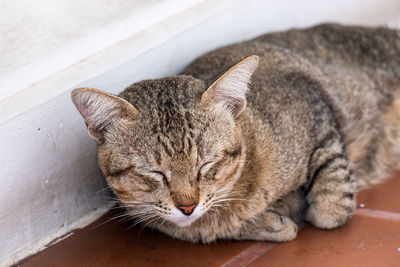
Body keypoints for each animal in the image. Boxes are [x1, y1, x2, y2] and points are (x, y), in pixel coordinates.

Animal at [71, 24, 400, 244]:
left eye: (206, 164)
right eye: (154, 173)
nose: (187, 206)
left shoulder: (315, 106)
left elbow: (331, 200)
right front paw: (268, 222)